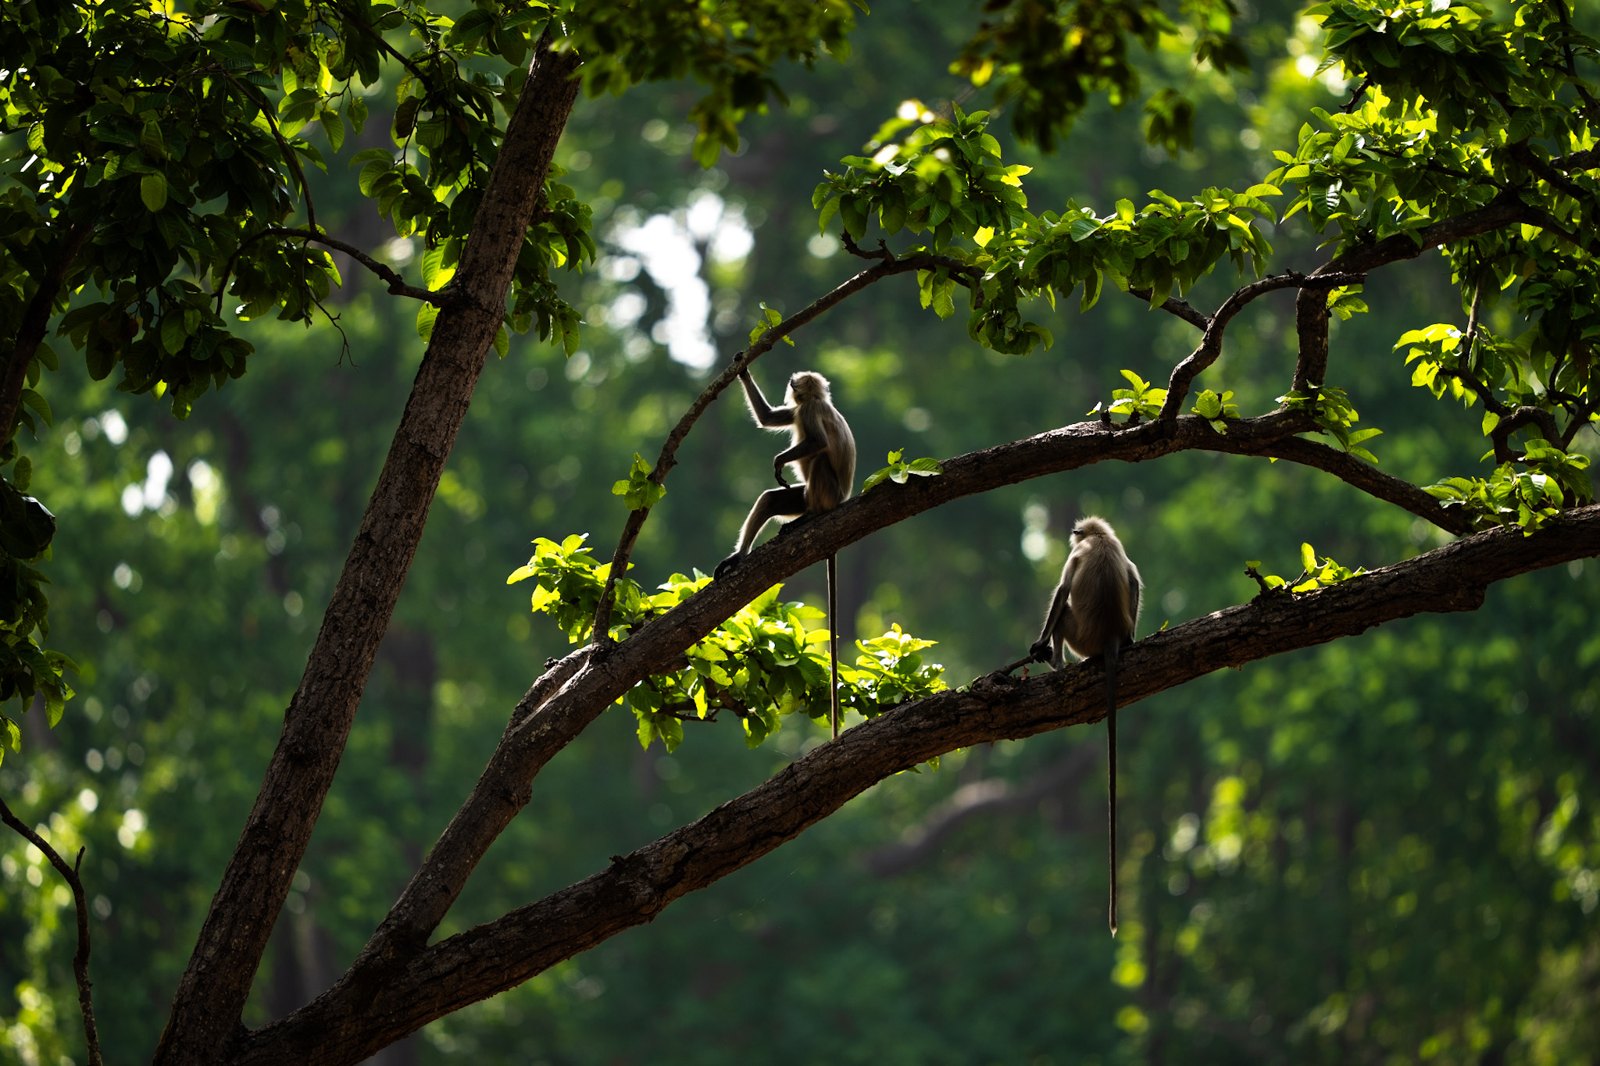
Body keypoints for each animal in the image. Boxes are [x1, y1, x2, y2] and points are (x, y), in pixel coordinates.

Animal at [714, 367, 856, 737]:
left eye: (796, 383)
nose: (790, 385)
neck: (815, 401)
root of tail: (840, 502)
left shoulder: (808, 410)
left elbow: (818, 443)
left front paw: (780, 459)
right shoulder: (798, 410)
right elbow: (767, 418)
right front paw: (741, 366)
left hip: (824, 493)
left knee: (818, 460)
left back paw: (812, 516)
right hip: (800, 496)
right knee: (769, 499)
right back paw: (740, 556)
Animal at [1029, 515, 1142, 937]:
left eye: (1076, 535)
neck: (1102, 540)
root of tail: (1106, 638)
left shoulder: (1077, 553)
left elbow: (1062, 590)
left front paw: (1040, 643)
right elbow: (1134, 580)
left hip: (1079, 635)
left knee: (1063, 611)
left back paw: (1055, 662)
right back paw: (1125, 641)